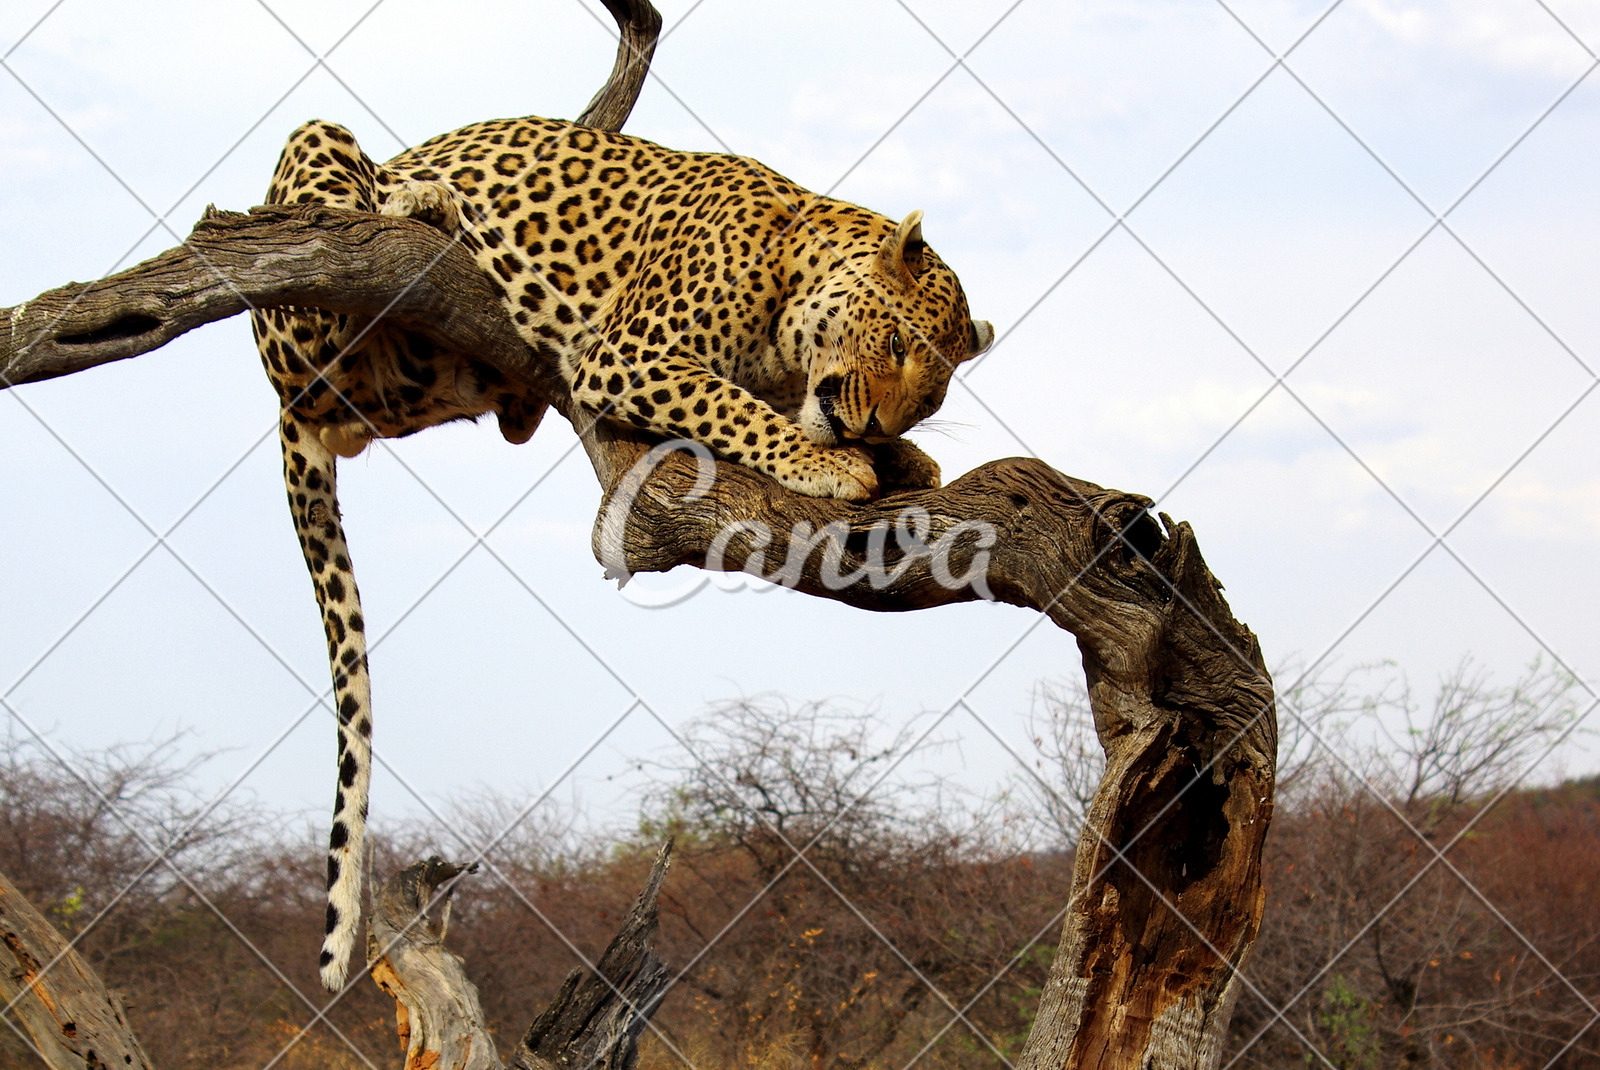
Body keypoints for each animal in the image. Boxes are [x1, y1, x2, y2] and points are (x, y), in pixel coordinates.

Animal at [252, 112, 985, 991]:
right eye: (901, 344)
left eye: (932, 393)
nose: (873, 422)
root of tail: (287, 403)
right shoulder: (632, 351)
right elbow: (732, 405)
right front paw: (833, 462)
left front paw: (902, 457)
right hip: (316, 193)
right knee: (336, 245)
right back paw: (421, 198)